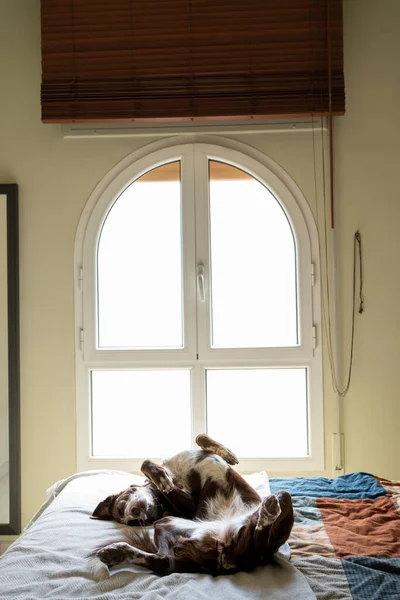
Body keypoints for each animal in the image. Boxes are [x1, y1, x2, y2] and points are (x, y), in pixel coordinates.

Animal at [93, 436, 294, 576]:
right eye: (132, 523)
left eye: (121, 506)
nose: (134, 514)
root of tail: (224, 561)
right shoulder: (189, 506)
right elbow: (156, 474)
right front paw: (161, 478)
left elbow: (199, 438)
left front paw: (228, 454)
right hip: (281, 500)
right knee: (258, 542)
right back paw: (268, 511)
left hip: (168, 525)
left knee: (163, 560)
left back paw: (115, 552)